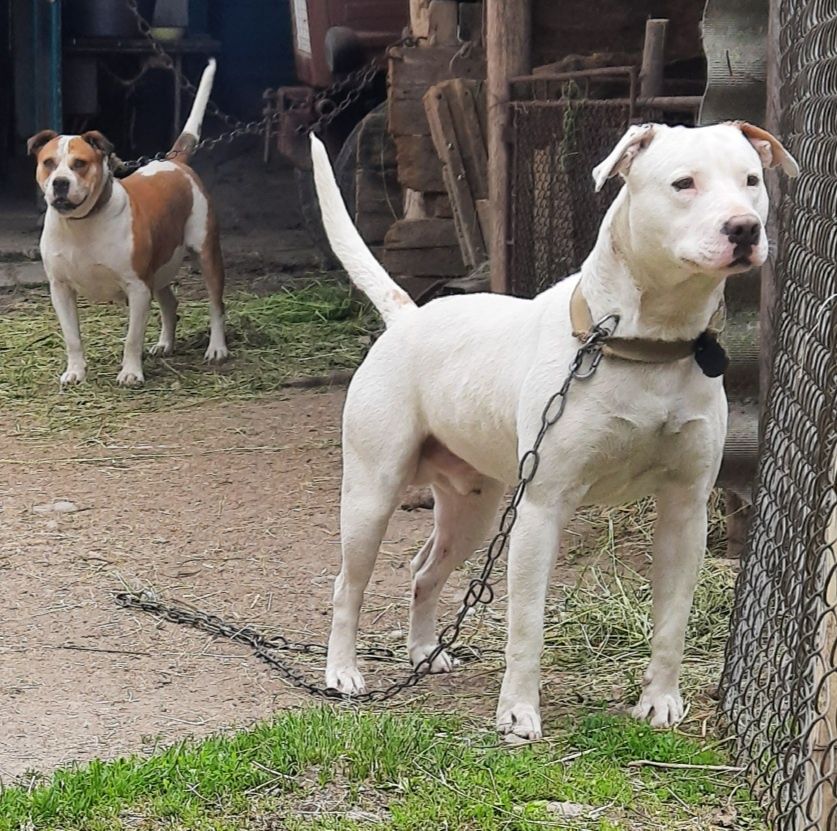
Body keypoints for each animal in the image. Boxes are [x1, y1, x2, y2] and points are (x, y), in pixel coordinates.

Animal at [28, 58, 229, 390]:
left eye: (80, 164)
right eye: (48, 163)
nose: (60, 183)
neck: (81, 224)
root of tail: (175, 161)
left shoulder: (137, 288)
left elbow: (132, 338)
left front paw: (131, 372)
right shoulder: (60, 289)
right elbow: (72, 337)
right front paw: (75, 371)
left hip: (207, 254)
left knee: (216, 305)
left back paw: (217, 348)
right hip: (159, 270)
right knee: (170, 304)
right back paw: (165, 344)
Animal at [308, 120, 796, 736]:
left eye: (751, 180)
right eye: (684, 183)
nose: (744, 227)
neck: (646, 341)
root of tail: (409, 315)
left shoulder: (685, 508)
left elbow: (672, 621)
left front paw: (660, 701)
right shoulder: (541, 509)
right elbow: (526, 625)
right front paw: (518, 712)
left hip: (474, 510)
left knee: (425, 572)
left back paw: (425, 654)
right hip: (371, 495)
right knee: (347, 585)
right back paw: (342, 672)